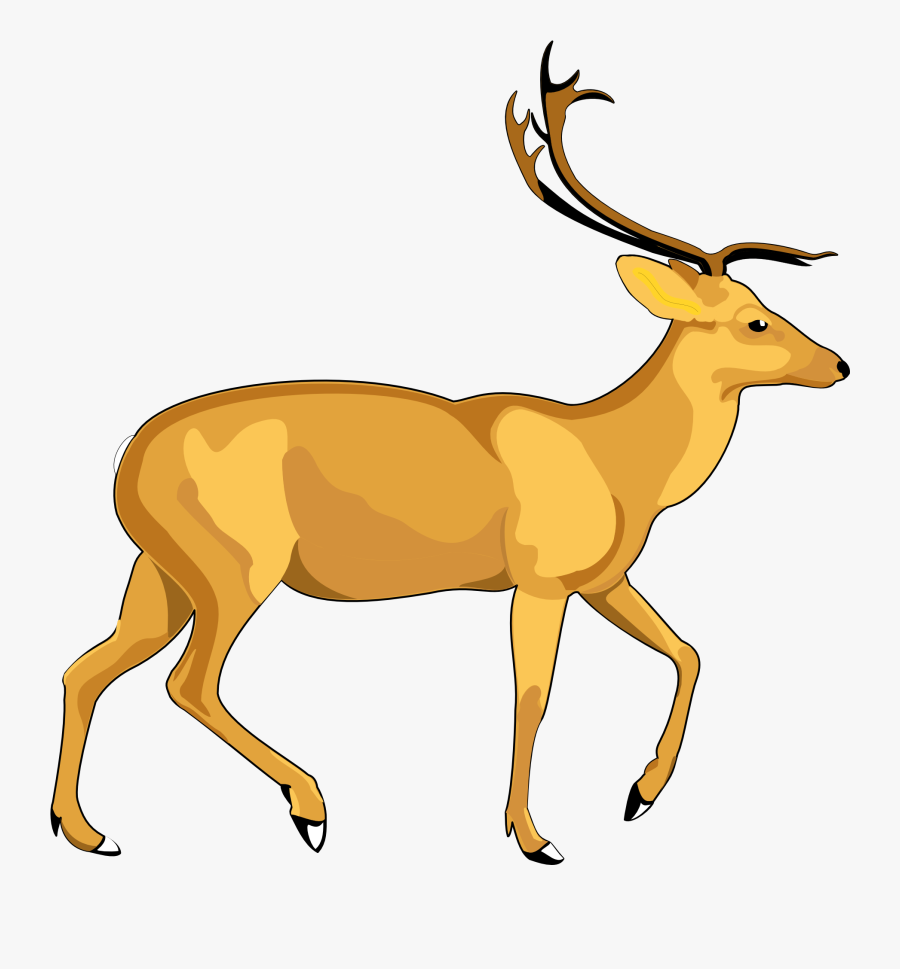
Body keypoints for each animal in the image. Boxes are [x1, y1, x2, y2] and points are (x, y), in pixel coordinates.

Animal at [51, 43, 847, 865]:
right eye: (756, 320)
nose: (839, 365)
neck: (616, 459)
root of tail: (125, 464)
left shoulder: (602, 579)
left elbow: (687, 649)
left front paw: (638, 796)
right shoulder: (541, 579)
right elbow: (535, 694)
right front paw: (534, 837)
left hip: (162, 572)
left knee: (86, 668)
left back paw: (87, 831)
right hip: (236, 568)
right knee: (188, 682)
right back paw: (311, 808)